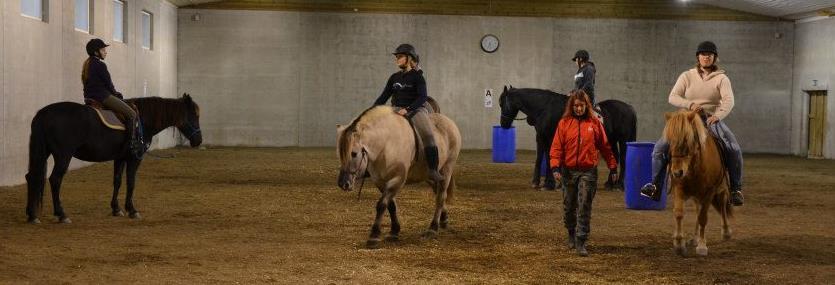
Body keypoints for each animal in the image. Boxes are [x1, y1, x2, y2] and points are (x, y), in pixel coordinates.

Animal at [24, 94, 202, 223]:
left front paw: (116, 209)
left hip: (43, 152)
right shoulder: (134, 158)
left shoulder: (120, 157)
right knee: (55, 179)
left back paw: (32, 215)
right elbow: (131, 182)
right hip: (63, 155)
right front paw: (132, 210)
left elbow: (117, 181)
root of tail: (44, 113)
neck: (143, 120)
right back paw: (61, 214)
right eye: (194, 116)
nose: (198, 140)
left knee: (32, 177)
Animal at [334, 105, 464, 247]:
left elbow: (382, 204)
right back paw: (443, 220)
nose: (343, 184)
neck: (386, 144)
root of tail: (449, 121)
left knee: (441, 196)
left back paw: (433, 228)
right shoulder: (380, 181)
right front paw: (394, 231)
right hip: (429, 175)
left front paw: (374, 236)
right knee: (438, 192)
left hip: (447, 169)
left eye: (354, 153)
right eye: (340, 153)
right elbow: (391, 206)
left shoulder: (397, 179)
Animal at [500, 85, 636, 190]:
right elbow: (541, 158)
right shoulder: (541, 137)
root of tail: (629, 108)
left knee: (623, 159)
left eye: (501, 103)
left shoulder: (550, 137)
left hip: (623, 140)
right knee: (615, 157)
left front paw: (549, 184)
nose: (503, 124)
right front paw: (538, 182)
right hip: (611, 140)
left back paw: (619, 185)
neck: (544, 108)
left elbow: (549, 158)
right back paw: (610, 183)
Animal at [668, 108, 732, 255]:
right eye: (669, 140)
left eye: (687, 139)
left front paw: (702, 246)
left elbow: (703, 218)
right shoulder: (679, 188)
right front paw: (679, 243)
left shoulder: (709, 192)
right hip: (697, 195)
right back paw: (695, 238)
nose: (677, 172)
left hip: (721, 188)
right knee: (698, 209)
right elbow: (679, 213)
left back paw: (726, 232)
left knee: (722, 204)